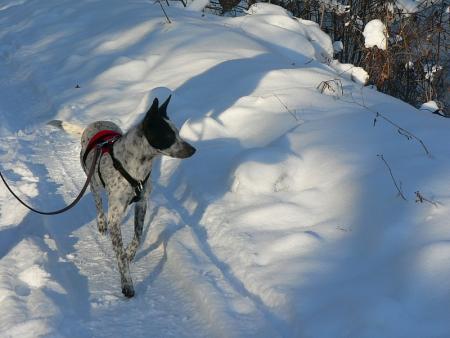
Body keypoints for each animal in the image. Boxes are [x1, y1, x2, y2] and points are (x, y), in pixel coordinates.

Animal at [51, 94, 195, 296]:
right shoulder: (115, 216)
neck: (138, 167)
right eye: (168, 135)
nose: (193, 150)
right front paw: (127, 283)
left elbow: (138, 236)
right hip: (93, 182)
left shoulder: (142, 203)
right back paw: (101, 223)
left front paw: (129, 254)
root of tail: (93, 124)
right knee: (98, 203)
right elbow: (119, 254)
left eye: (178, 133)